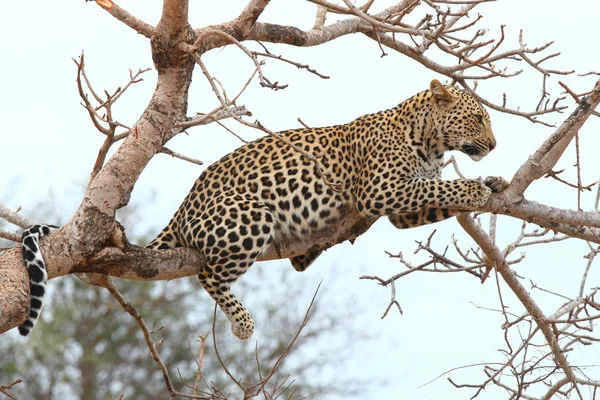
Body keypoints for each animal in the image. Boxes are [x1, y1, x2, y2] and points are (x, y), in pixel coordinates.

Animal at [141, 79, 506, 340]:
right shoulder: (381, 189)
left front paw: (495, 182)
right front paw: (474, 188)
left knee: (294, 264)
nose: (493, 145)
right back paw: (243, 323)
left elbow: (435, 196)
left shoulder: (402, 210)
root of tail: (183, 207)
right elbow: (439, 187)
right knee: (208, 275)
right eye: (477, 119)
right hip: (251, 217)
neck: (431, 144)